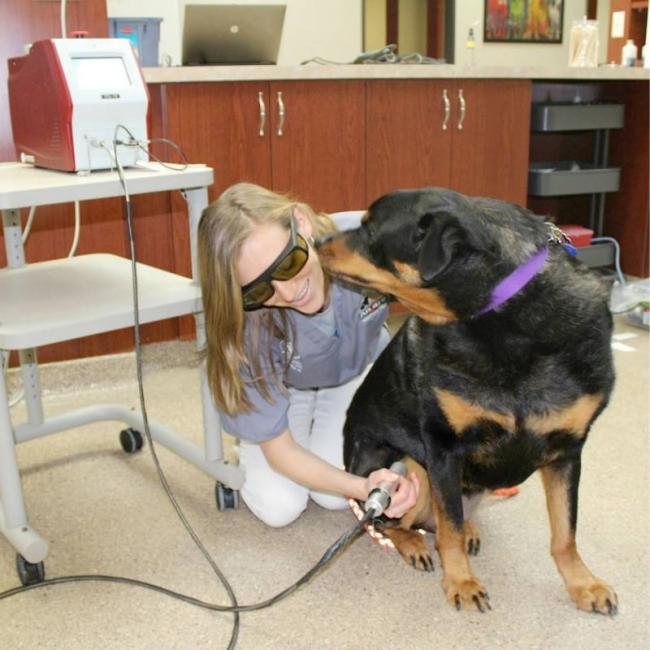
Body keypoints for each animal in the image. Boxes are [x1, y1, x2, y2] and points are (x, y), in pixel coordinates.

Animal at [316, 186, 616, 612]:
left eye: (370, 228)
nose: (317, 242)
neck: (500, 319)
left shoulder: (567, 450)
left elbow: (565, 532)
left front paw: (582, 583)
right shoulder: (443, 445)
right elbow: (450, 528)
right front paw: (460, 581)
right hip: (400, 466)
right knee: (391, 521)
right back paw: (412, 542)